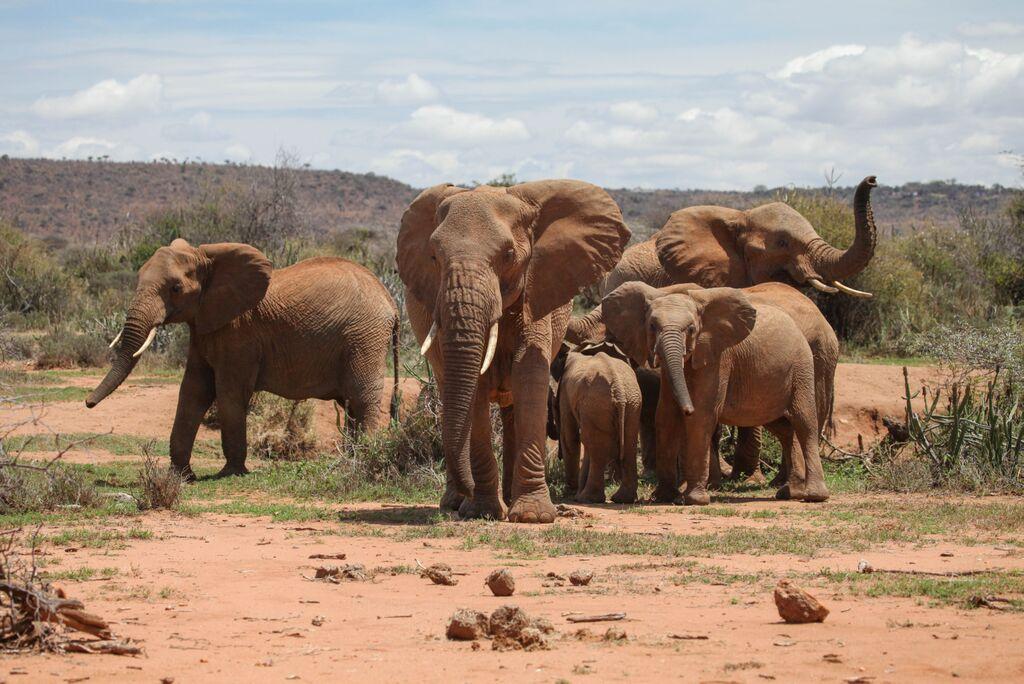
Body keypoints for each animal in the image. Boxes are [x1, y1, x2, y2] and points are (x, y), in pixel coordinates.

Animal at [84, 240, 399, 481]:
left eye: (175, 288)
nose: (87, 403)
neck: (208, 258)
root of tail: (391, 301)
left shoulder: (239, 333)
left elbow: (228, 393)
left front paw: (230, 473)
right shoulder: (204, 327)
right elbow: (193, 391)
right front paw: (181, 476)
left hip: (365, 337)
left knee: (362, 398)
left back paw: (363, 461)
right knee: (350, 404)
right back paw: (350, 460)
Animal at [395, 179, 626, 520]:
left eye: (507, 255)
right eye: (434, 257)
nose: (468, 490)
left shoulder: (539, 287)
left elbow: (529, 375)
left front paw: (532, 516)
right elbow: (475, 387)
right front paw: (483, 511)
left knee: (513, 407)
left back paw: (503, 498)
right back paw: (457, 504)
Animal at [552, 344, 638, 505]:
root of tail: (619, 389)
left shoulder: (565, 394)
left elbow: (570, 437)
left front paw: (570, 494)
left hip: (596, 403)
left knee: (597, 447)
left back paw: (587, 499)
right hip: (632, 402)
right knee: (629, 445)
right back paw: (622, 499)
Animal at [602, 280, 827, 505]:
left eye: (691, 329)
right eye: (651, 326)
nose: (687, 408)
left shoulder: (718, 359)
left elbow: (701, 416)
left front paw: (694, 500)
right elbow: (666, 415)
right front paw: (663, 497)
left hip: (802, 367)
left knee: (804, 421)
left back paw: (814, 496)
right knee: (784, 427)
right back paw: (790, 493)